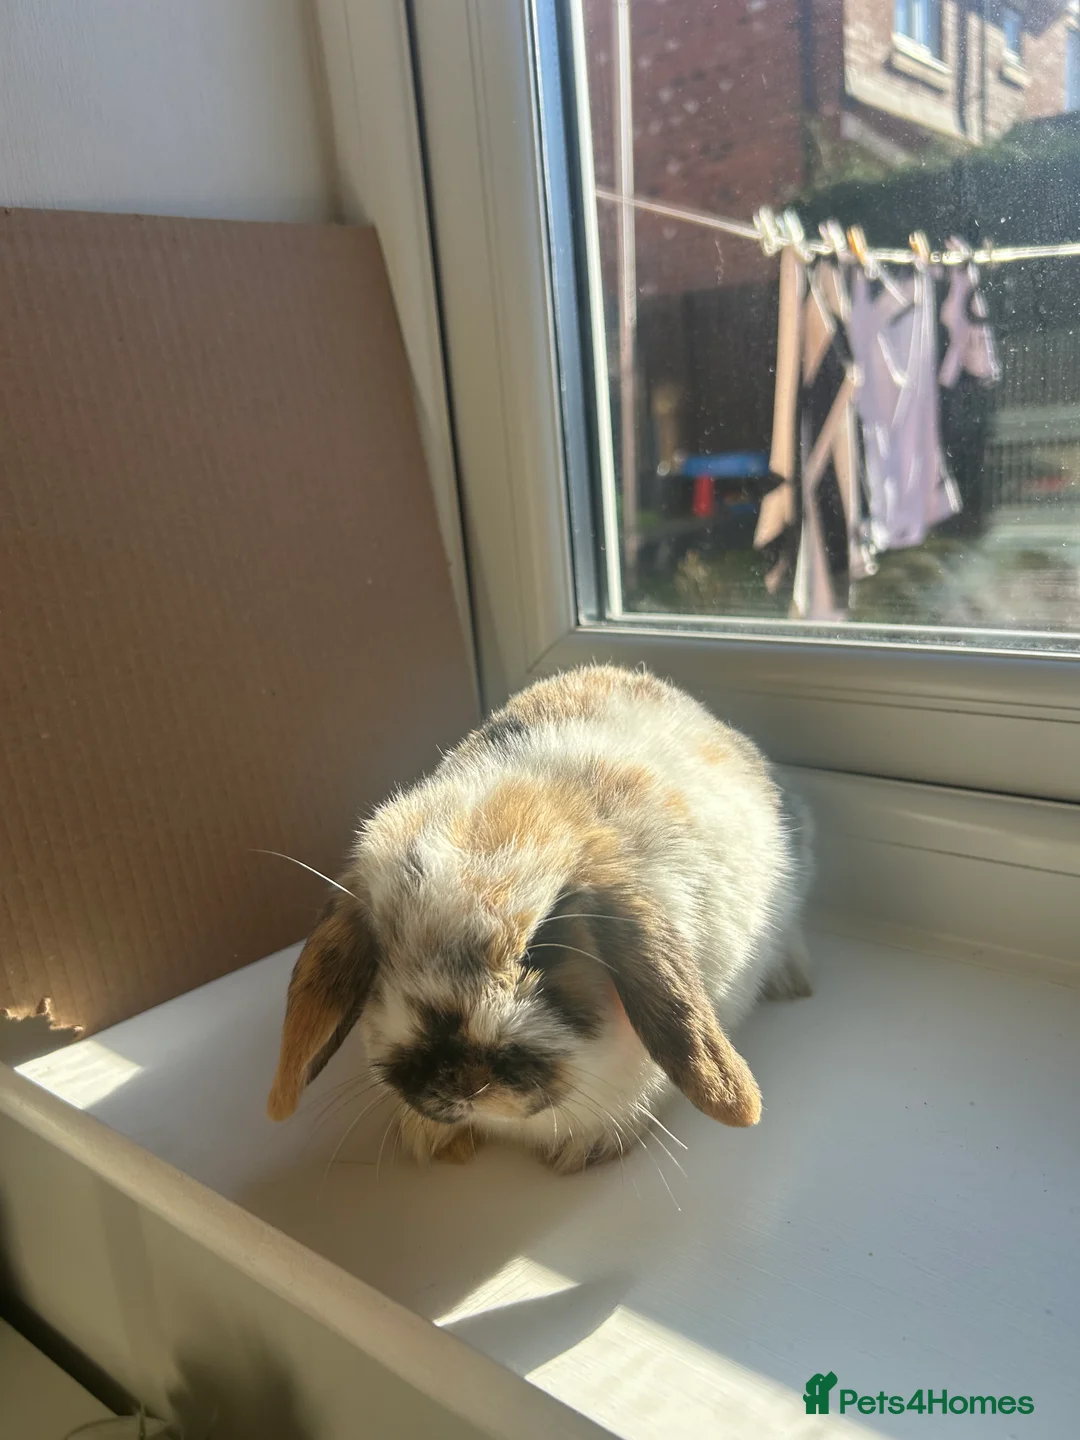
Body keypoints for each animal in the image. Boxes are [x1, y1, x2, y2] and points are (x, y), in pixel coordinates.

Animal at [267, 664, 813, 1173]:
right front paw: (427, 1137)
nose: (454, 1081)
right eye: (381, 958)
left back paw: (792, 982)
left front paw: (584, 1149)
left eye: (542, 951)